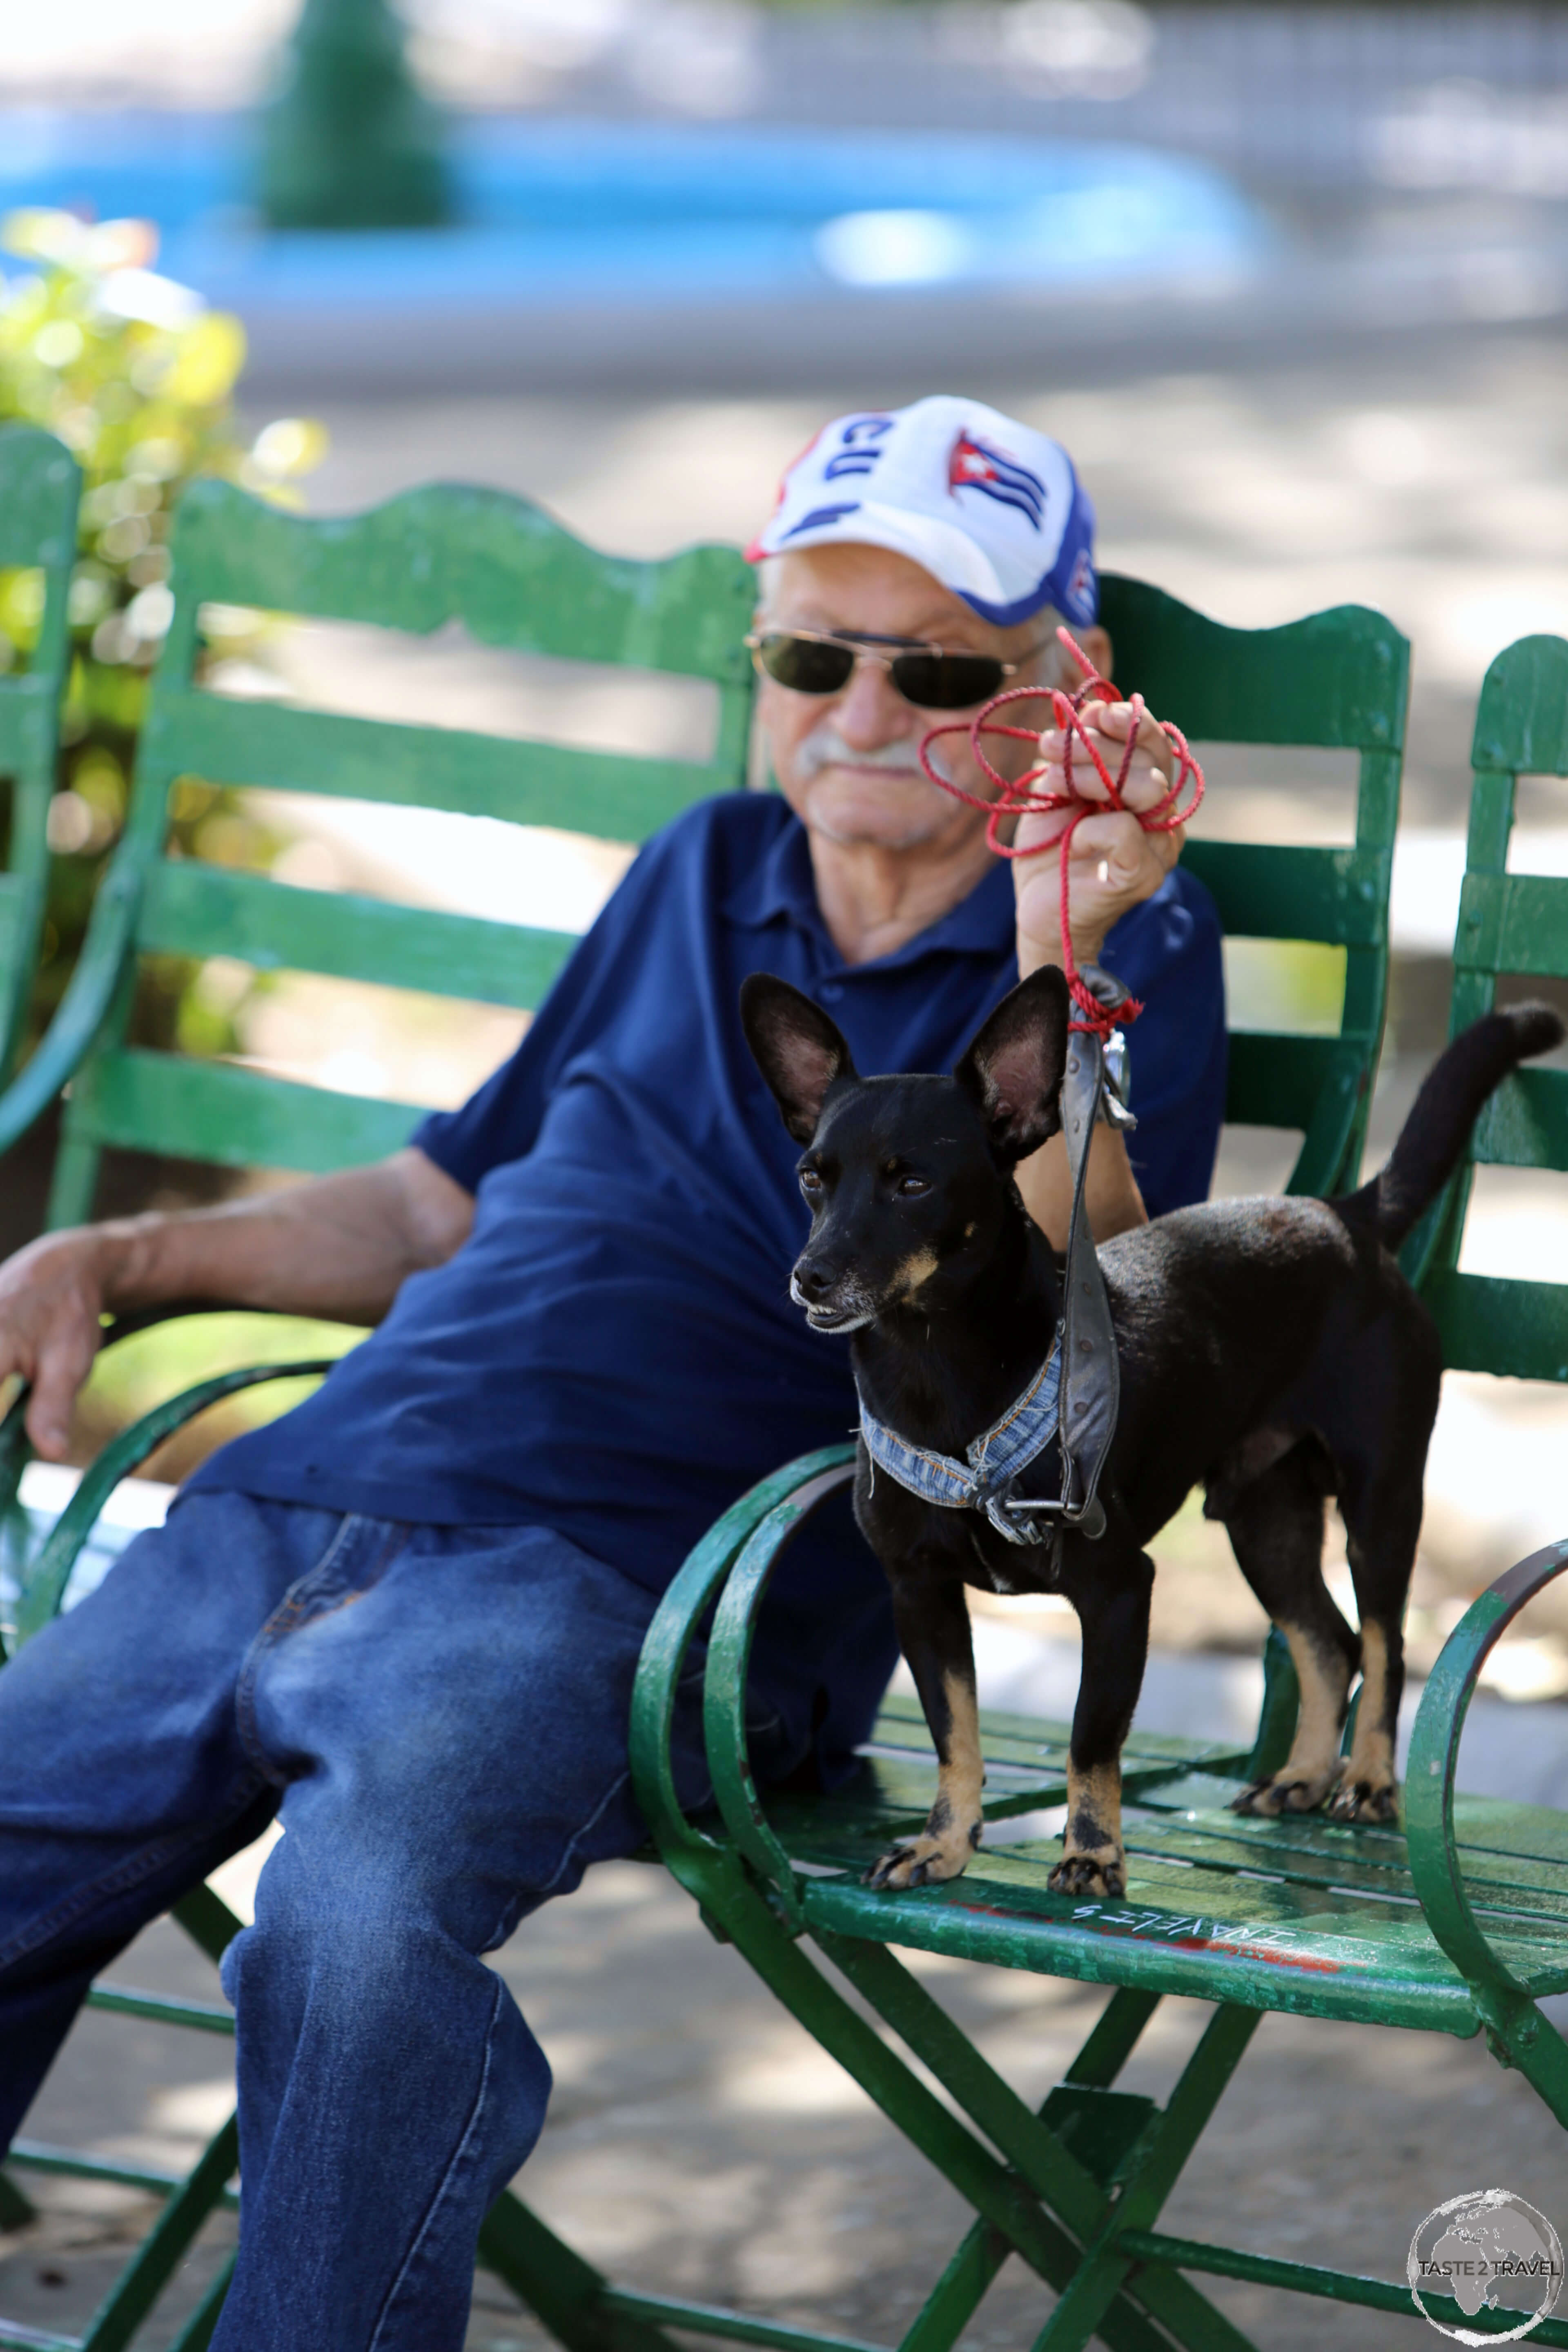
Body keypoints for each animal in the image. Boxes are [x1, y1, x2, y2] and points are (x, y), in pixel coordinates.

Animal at [743, 964, 1561, 1900]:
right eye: (813, 1178)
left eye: (911, 1184)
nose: (810, 1276)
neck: (937, 1375)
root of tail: (1345, 1217)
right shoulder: (920, 1596)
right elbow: (956, 1736)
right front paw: (942, 1845)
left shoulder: (1119, 1591)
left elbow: (1090, 1740)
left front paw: (1092, 1854)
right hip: (1265, 1521)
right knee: (1331, 1641)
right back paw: (1303, 1774)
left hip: (1381, 1502)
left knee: (1386, 1645)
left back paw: (1368, 1780)